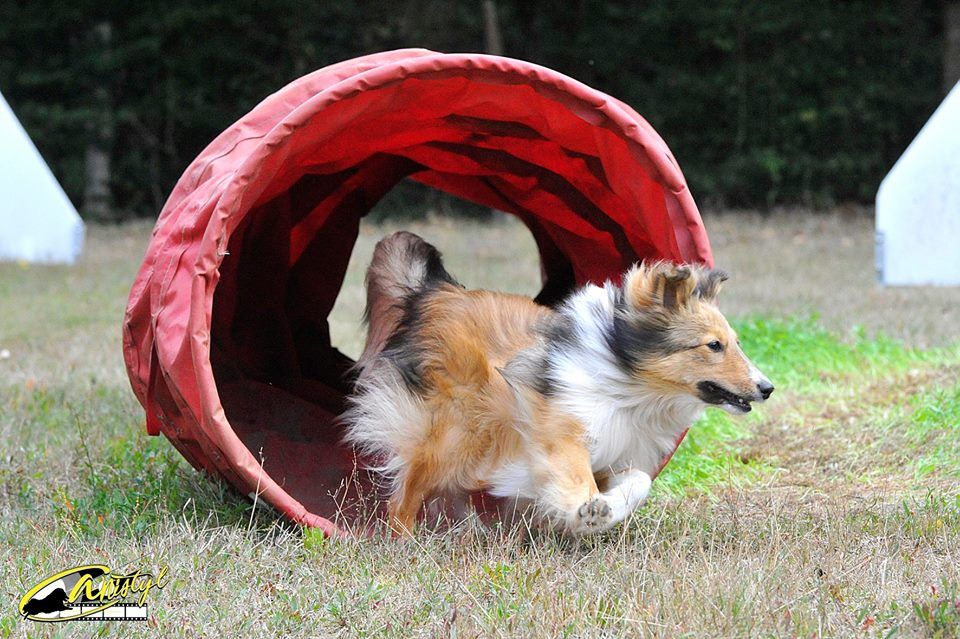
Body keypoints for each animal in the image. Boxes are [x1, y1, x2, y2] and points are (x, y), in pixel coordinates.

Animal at [344, 232, 773, 535]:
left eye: (735, 342)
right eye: (714, 345)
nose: (767, 388)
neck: (628, 387)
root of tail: (439, 291)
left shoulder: (616, 451)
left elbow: (637, 481)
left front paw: (606, 510)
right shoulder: (559, 429)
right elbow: (574, 472)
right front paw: (585, 509)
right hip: (459, 432)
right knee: (406, 492)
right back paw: (405, 541)